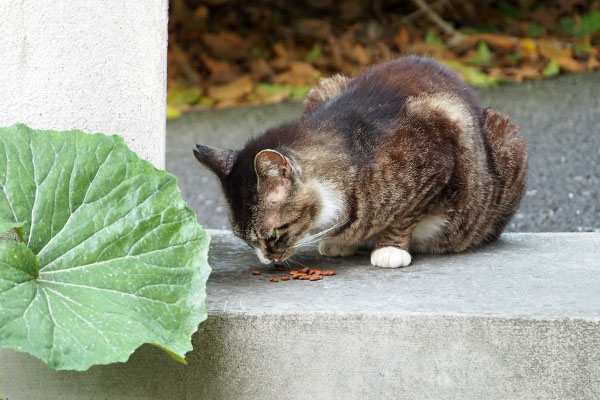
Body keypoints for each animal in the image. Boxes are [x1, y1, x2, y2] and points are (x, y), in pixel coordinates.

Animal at [195, 55, 528, 268]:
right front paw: (342, 241)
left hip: (506, 142)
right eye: (245, 240)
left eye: (274, 234)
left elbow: (405, 215)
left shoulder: (438, 152)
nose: (266, 260)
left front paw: (390, 248)